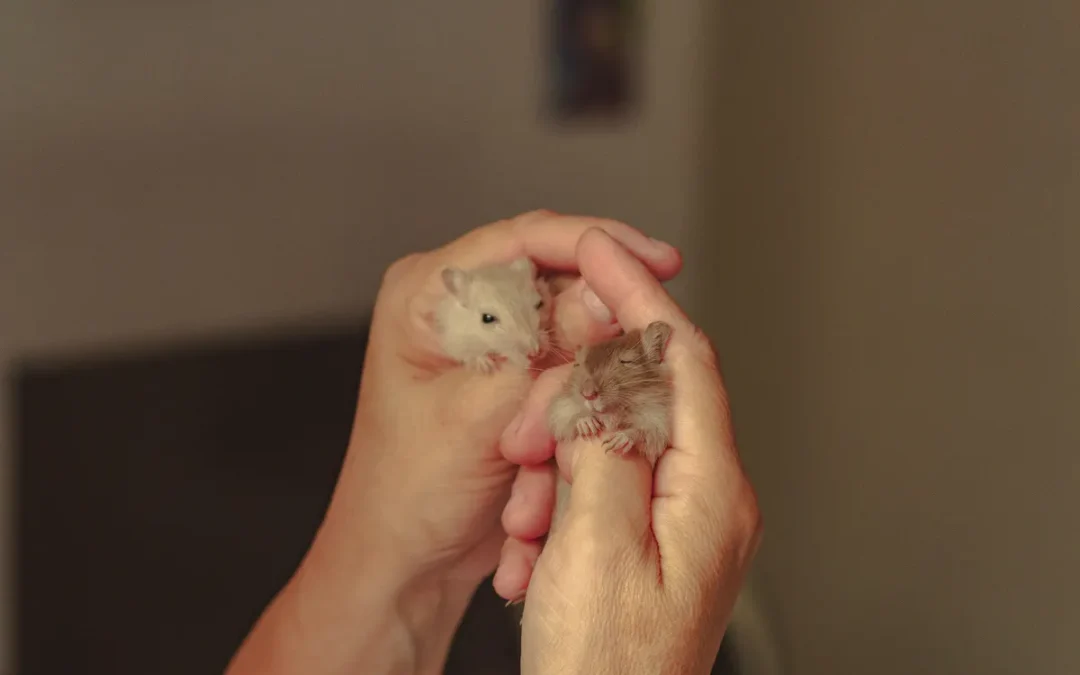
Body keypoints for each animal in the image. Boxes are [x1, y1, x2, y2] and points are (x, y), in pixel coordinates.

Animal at [547, 321, 674, 464]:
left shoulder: (657, 421)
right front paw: (588, 425)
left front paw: (616, 443)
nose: (588, 394)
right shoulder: (561, 409)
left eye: (626, 361)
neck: (610, 413)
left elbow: (644, 432)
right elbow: (569, 416)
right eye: (578, 365)